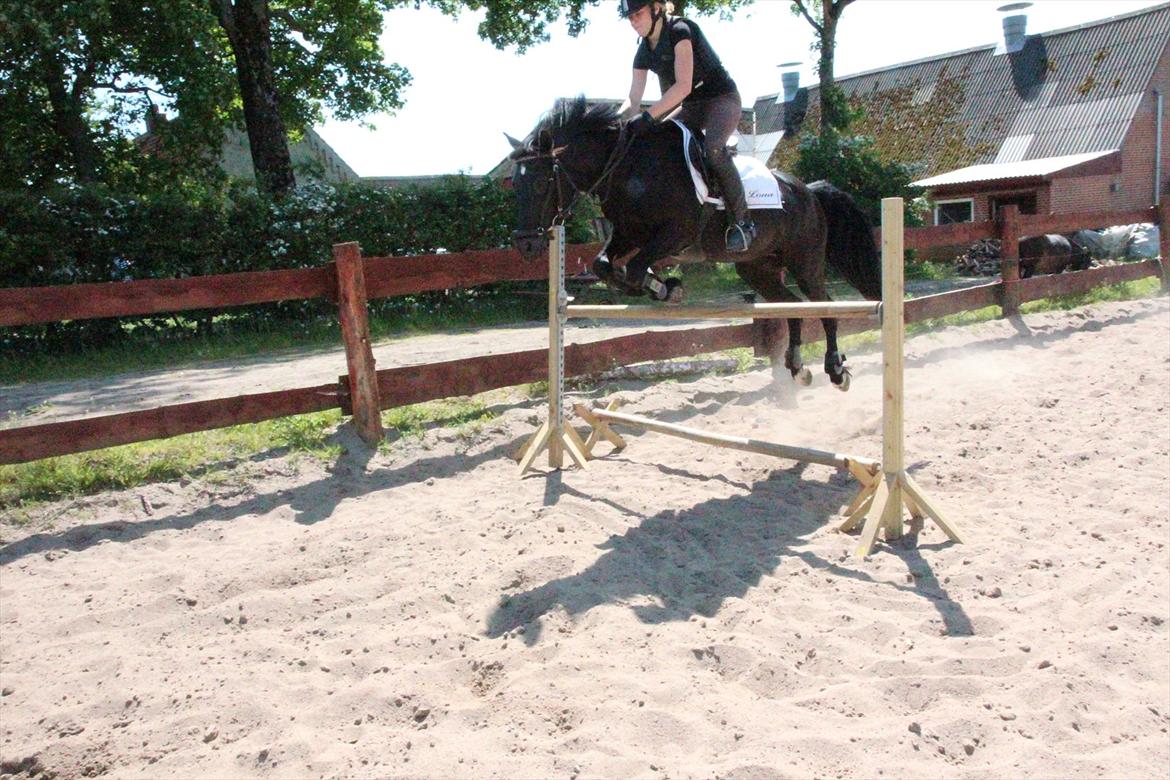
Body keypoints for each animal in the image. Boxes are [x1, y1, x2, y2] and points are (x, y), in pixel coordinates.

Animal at [507, 97, 879, 390]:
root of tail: (809, 192)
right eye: (514, 185)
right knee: (791, 307)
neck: (626, 166)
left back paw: (835, 369)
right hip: (757, 269)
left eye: (540, 184)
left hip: (806, 262)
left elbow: (634, 268)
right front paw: (665, 288)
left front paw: (666, 288)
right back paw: (798, 367)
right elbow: (606, 265)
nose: (525, 245)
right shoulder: (629, 234)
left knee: (824, 306)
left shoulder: (675, 234)